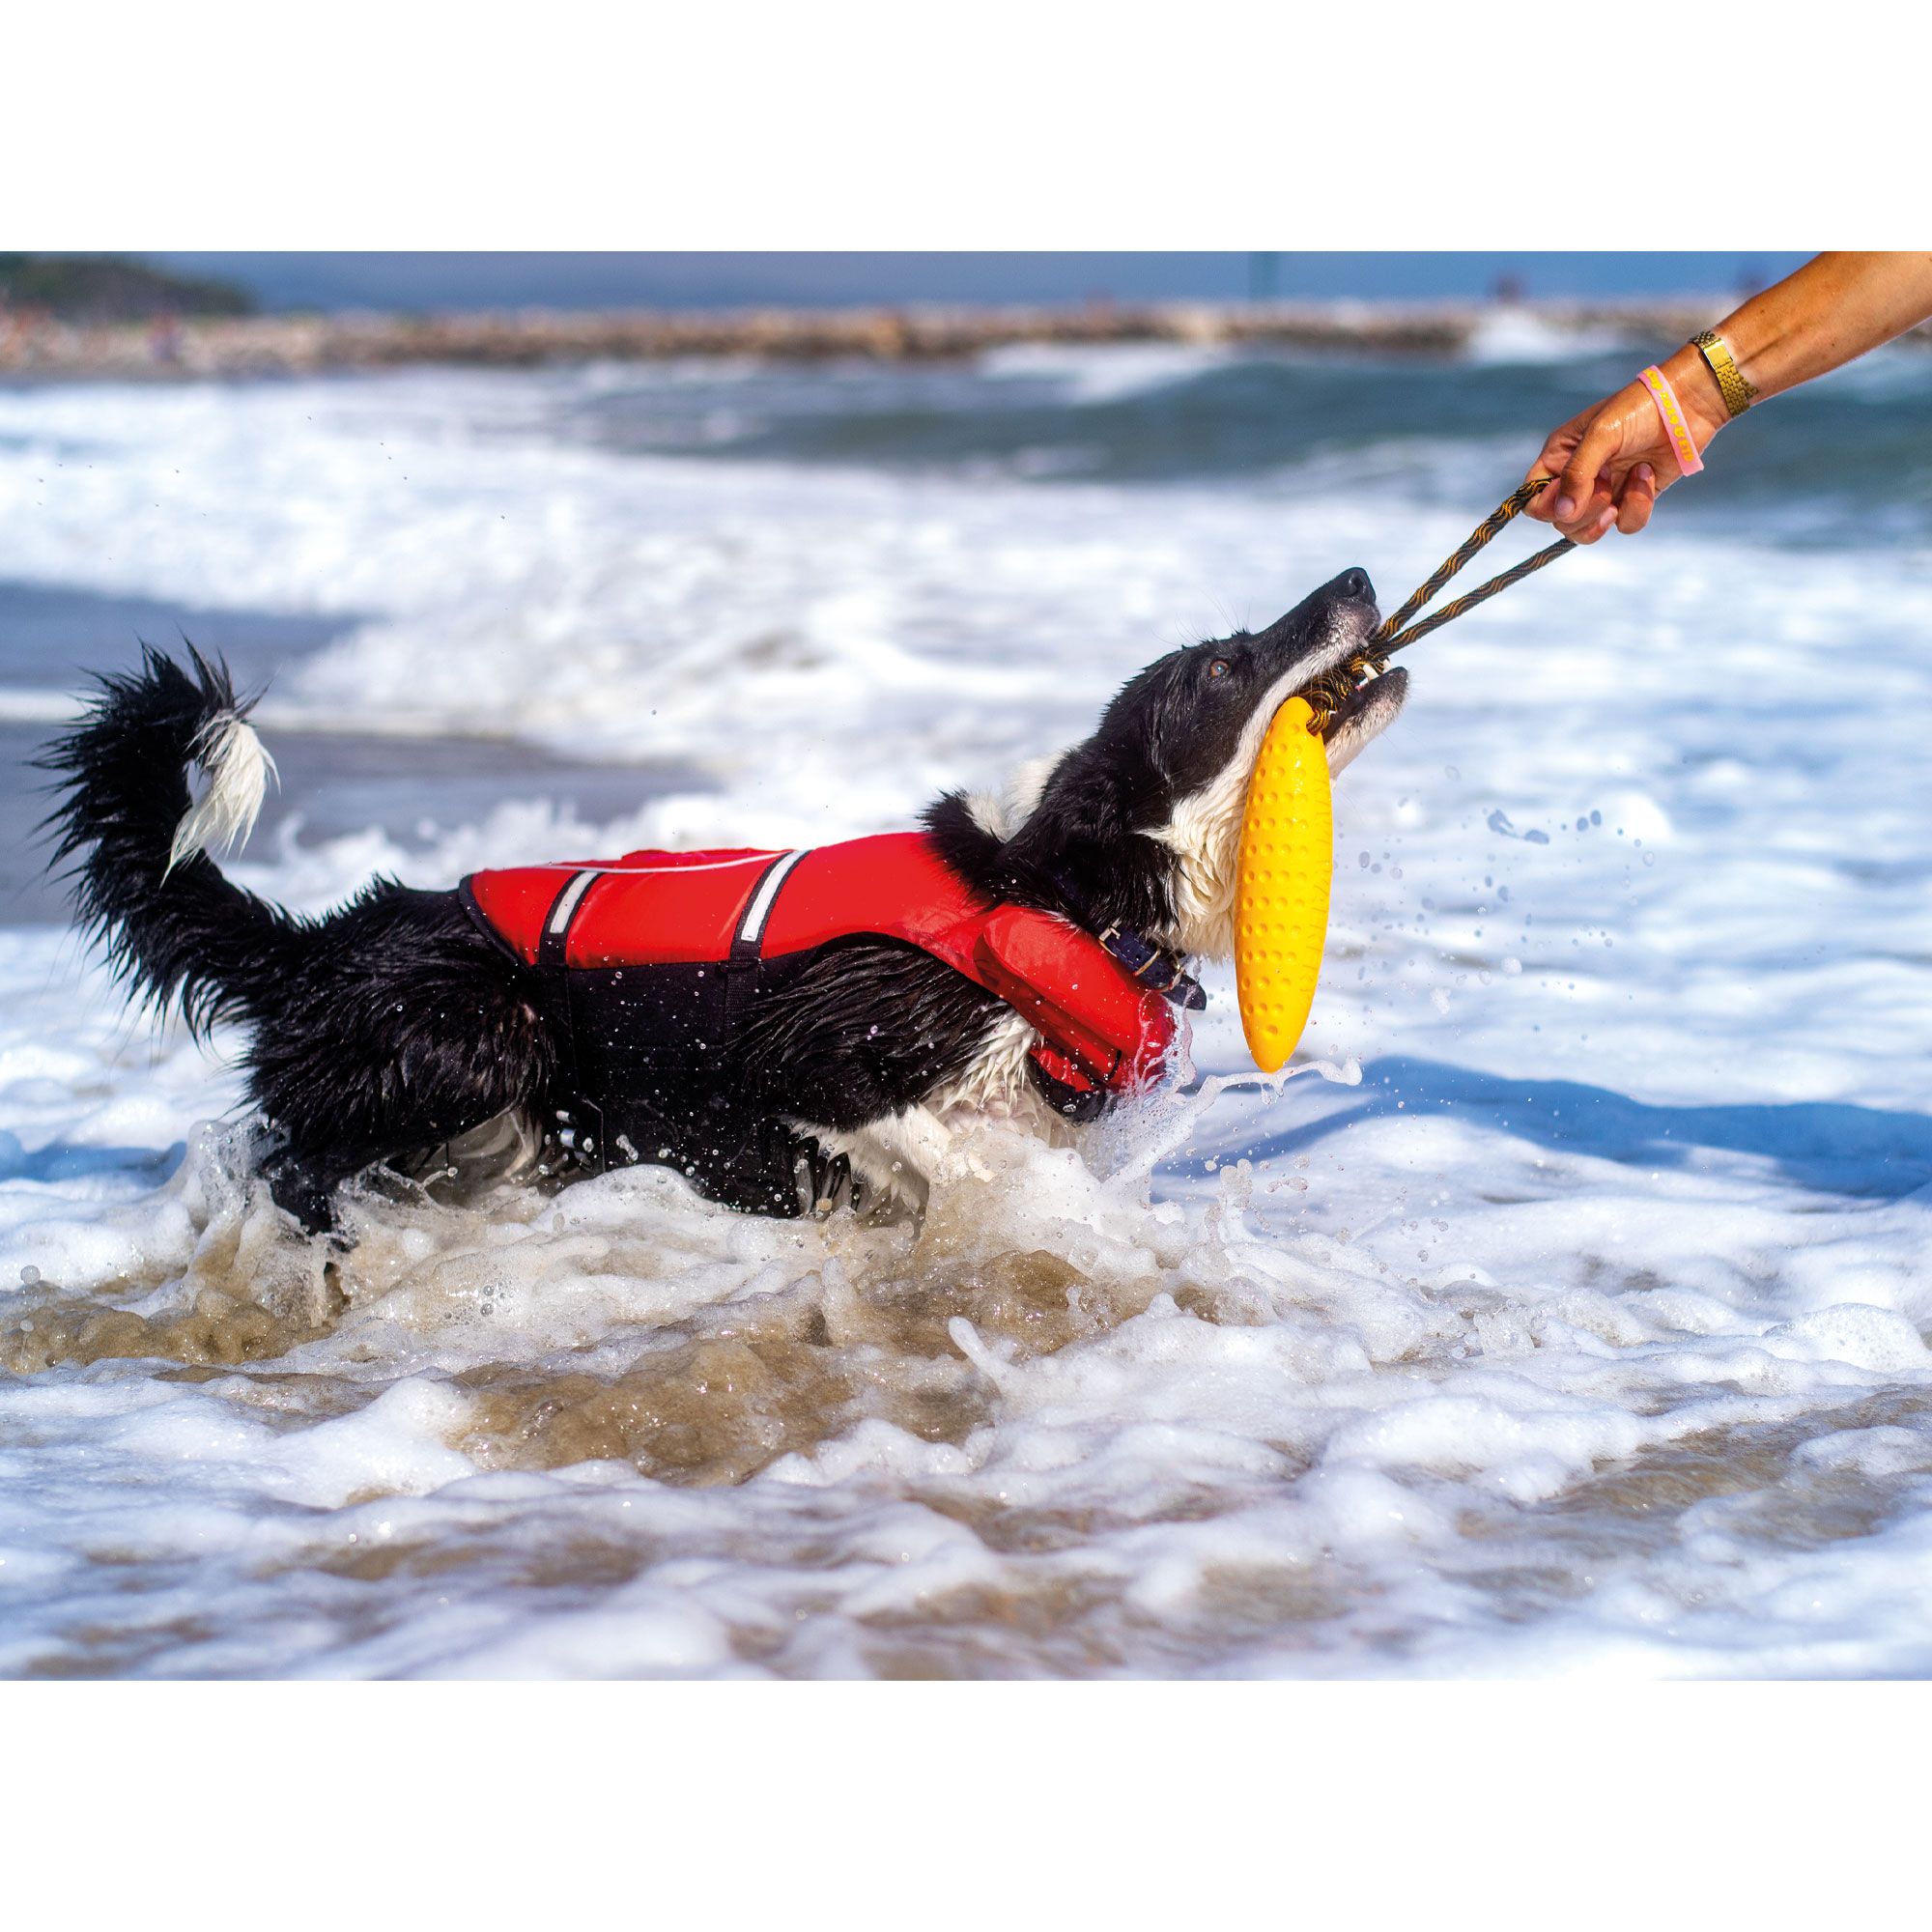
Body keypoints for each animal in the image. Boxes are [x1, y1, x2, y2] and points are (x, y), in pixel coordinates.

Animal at [42, 564, 1406, 1229]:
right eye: (1222, 664)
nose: (1354, 572)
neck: (1046, 887)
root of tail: (321, 942)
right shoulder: (814, 1046)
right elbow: (932, 1145)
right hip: (480, 1030)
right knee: (294, 1158)